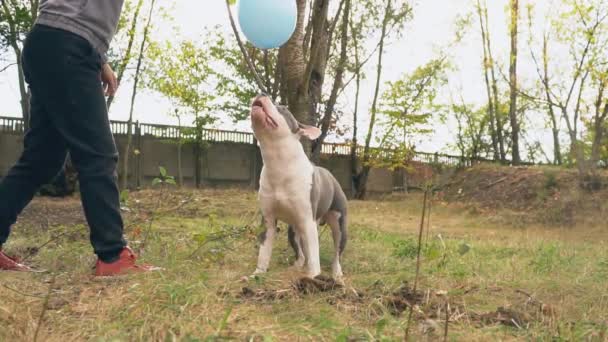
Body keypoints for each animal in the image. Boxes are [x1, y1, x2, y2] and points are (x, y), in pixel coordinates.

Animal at [248, 94, 346, 284]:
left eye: (283, 108)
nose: (261, 94)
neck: (278, 162)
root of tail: (330, 175)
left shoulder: (308, 220)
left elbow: (314, 254)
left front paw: (313, 277)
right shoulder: (268, 220)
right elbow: (264, 251)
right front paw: (258, 274)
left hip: (338, 224)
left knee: (336, 252)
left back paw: (336, 273)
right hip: (294, 229)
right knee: (301, 252)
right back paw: (297, 266)